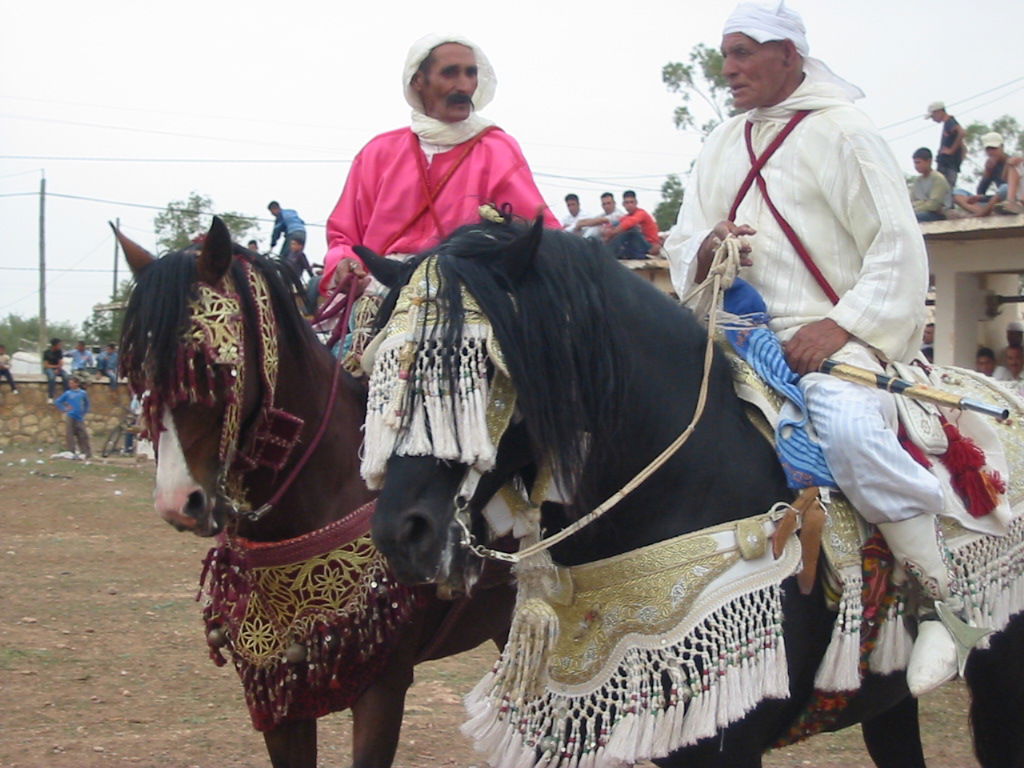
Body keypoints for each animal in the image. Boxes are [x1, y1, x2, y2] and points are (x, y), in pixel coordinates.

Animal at [358, 217, 1024, 768]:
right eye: (381, 367)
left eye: (481, 368)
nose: (403, 534)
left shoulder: (725, 746)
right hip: (888, 700)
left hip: (1001, 678)